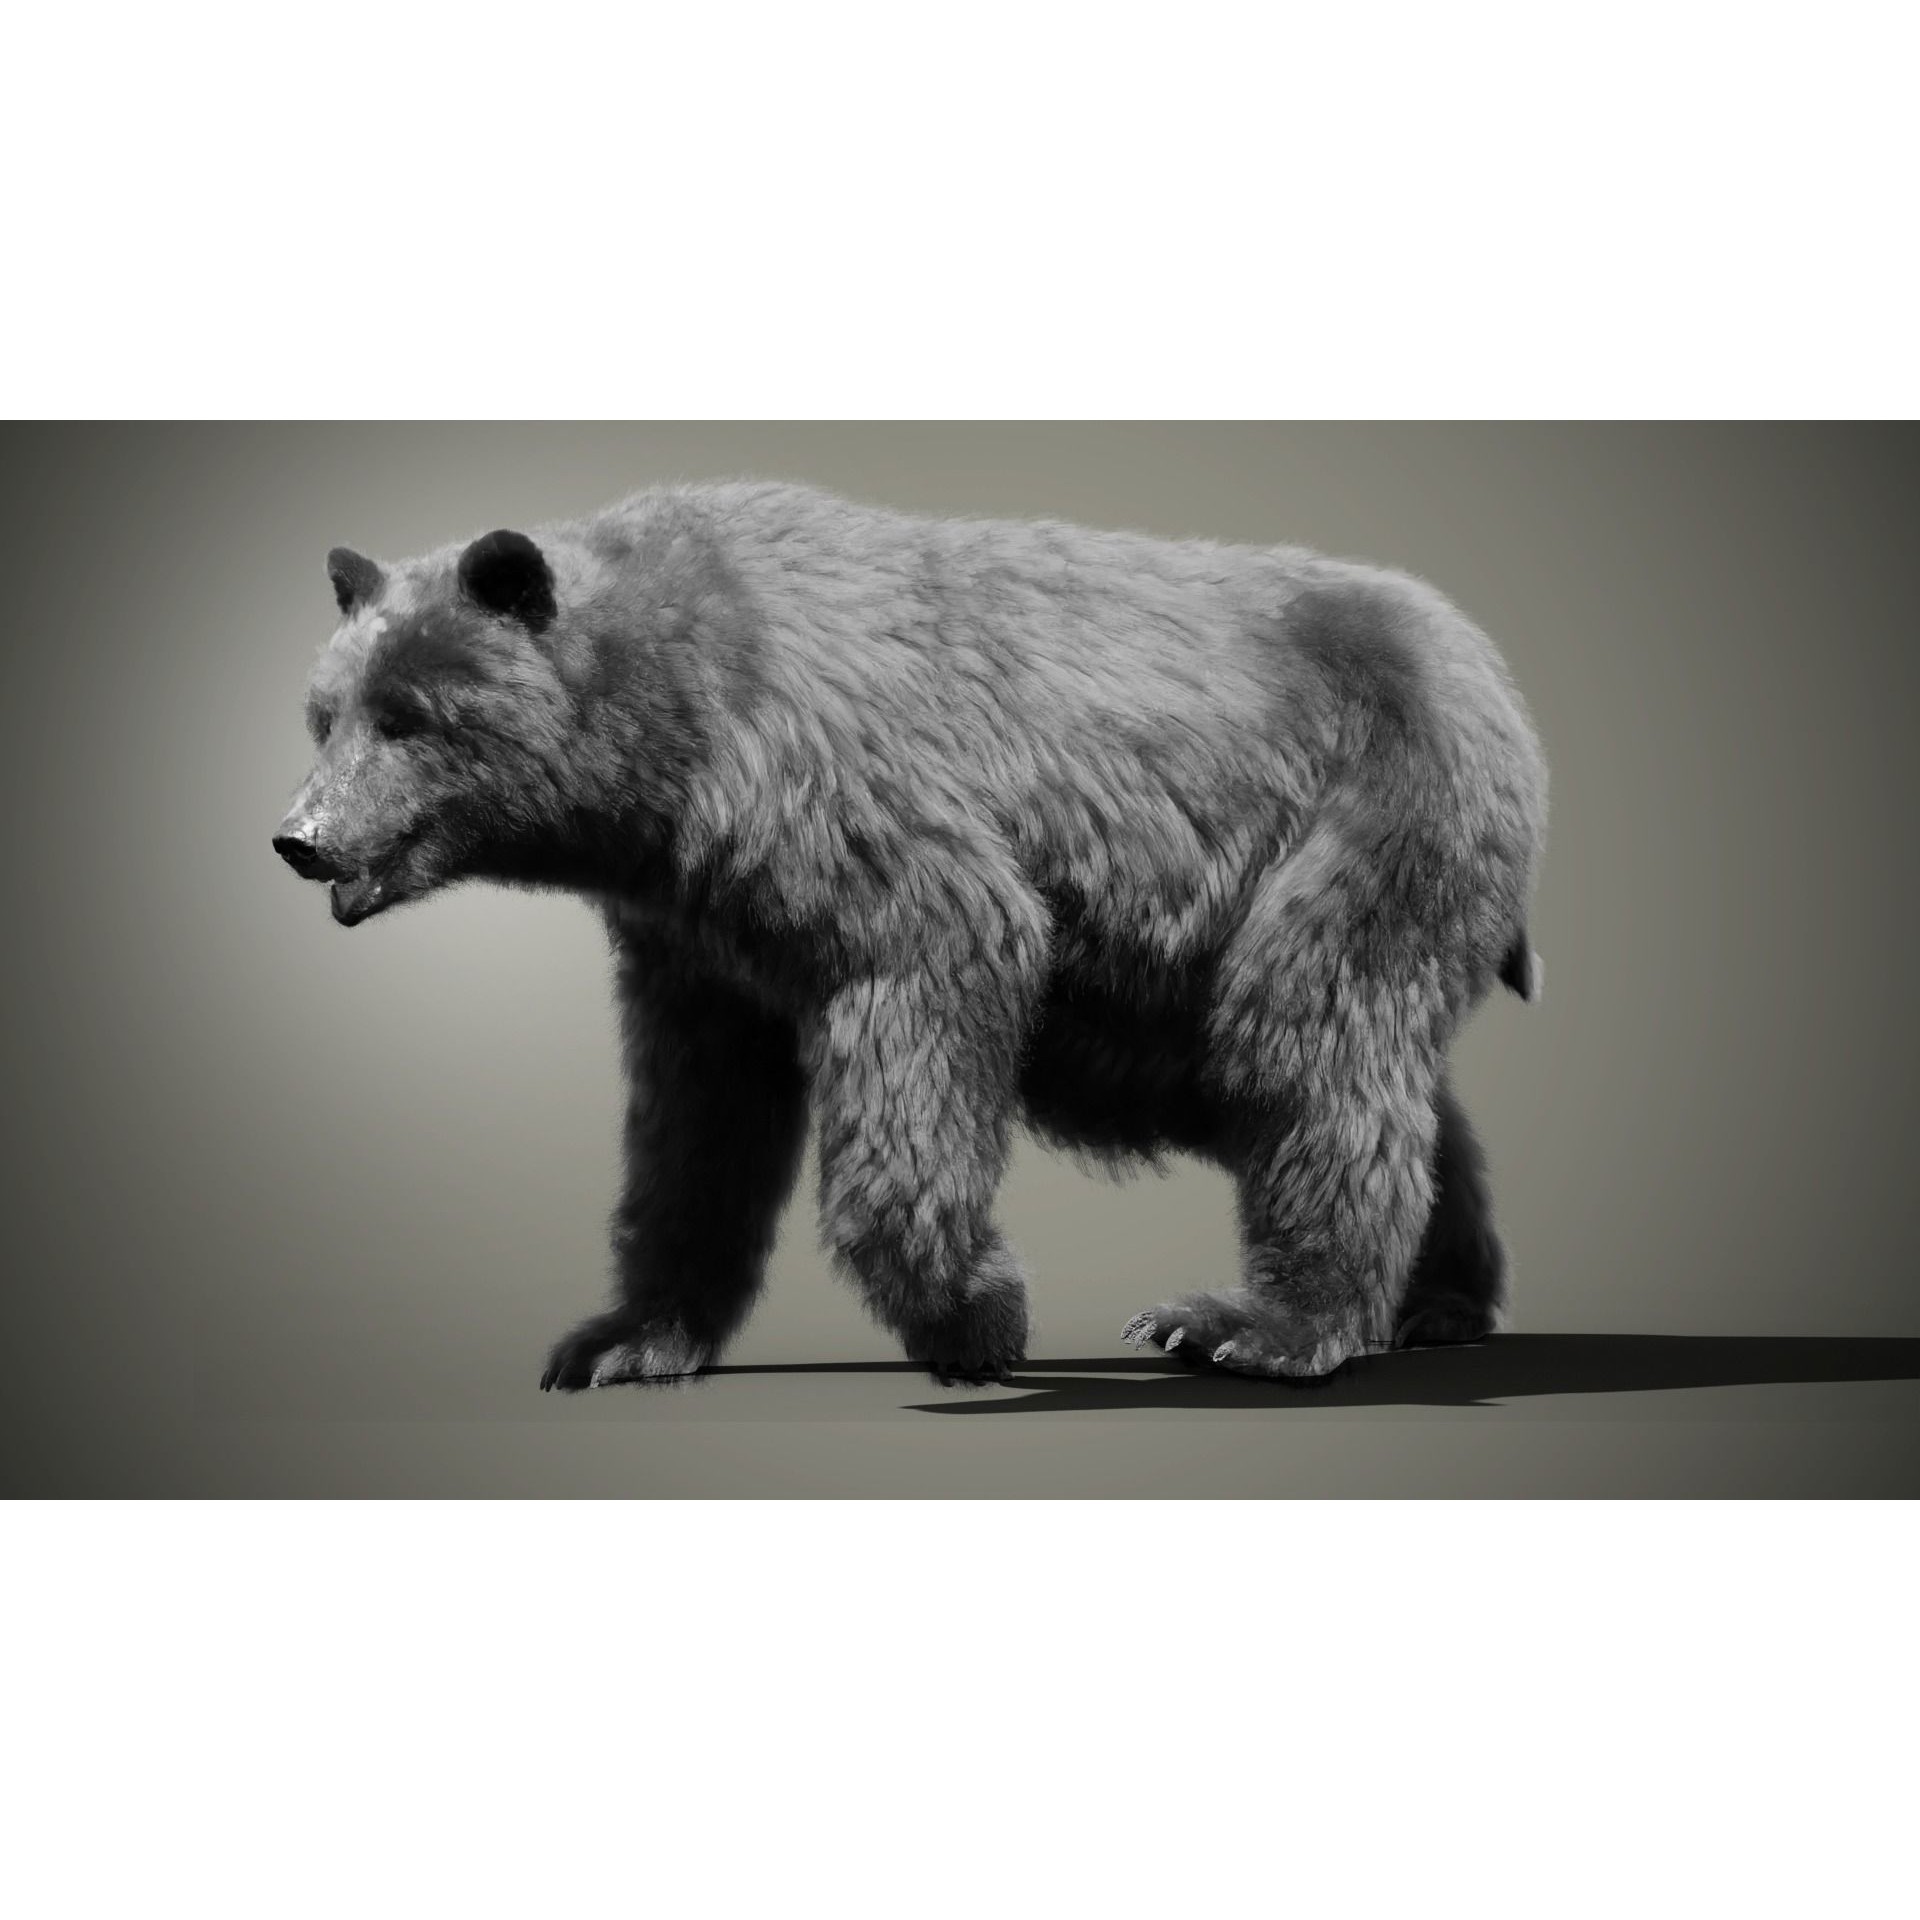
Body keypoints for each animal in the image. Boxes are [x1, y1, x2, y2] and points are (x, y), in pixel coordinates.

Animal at [274, 481, 1547, 1388]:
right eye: (324, 713)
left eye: (409, 716)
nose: (301, 839)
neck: (669, 743)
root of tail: (1480, 659)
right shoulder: (696, 934)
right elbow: (696, 1120)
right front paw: (619, 1338)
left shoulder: (844, 803)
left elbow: (931, 988)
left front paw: (979, 1315)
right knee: (1364, 1073)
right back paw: (1436, 1302)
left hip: (1371, 811)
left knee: (1307, 1036)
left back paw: (1251, 1325)